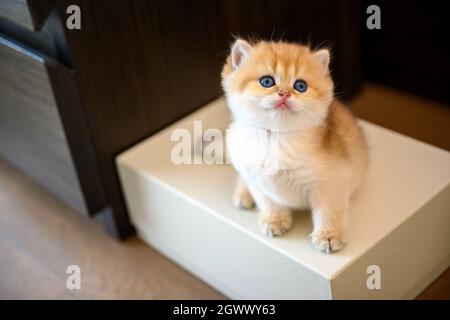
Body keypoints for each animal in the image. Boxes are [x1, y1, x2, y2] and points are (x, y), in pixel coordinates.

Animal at [220, 38, 368, 252]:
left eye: (300, 86)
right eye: (267, 82)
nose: (285, 94)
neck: (275, 139)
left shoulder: (333, 181)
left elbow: (329, 211)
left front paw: (328, 236)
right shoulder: (258, 181)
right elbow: (269, 202)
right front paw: (274, 221)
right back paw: (243, 194)